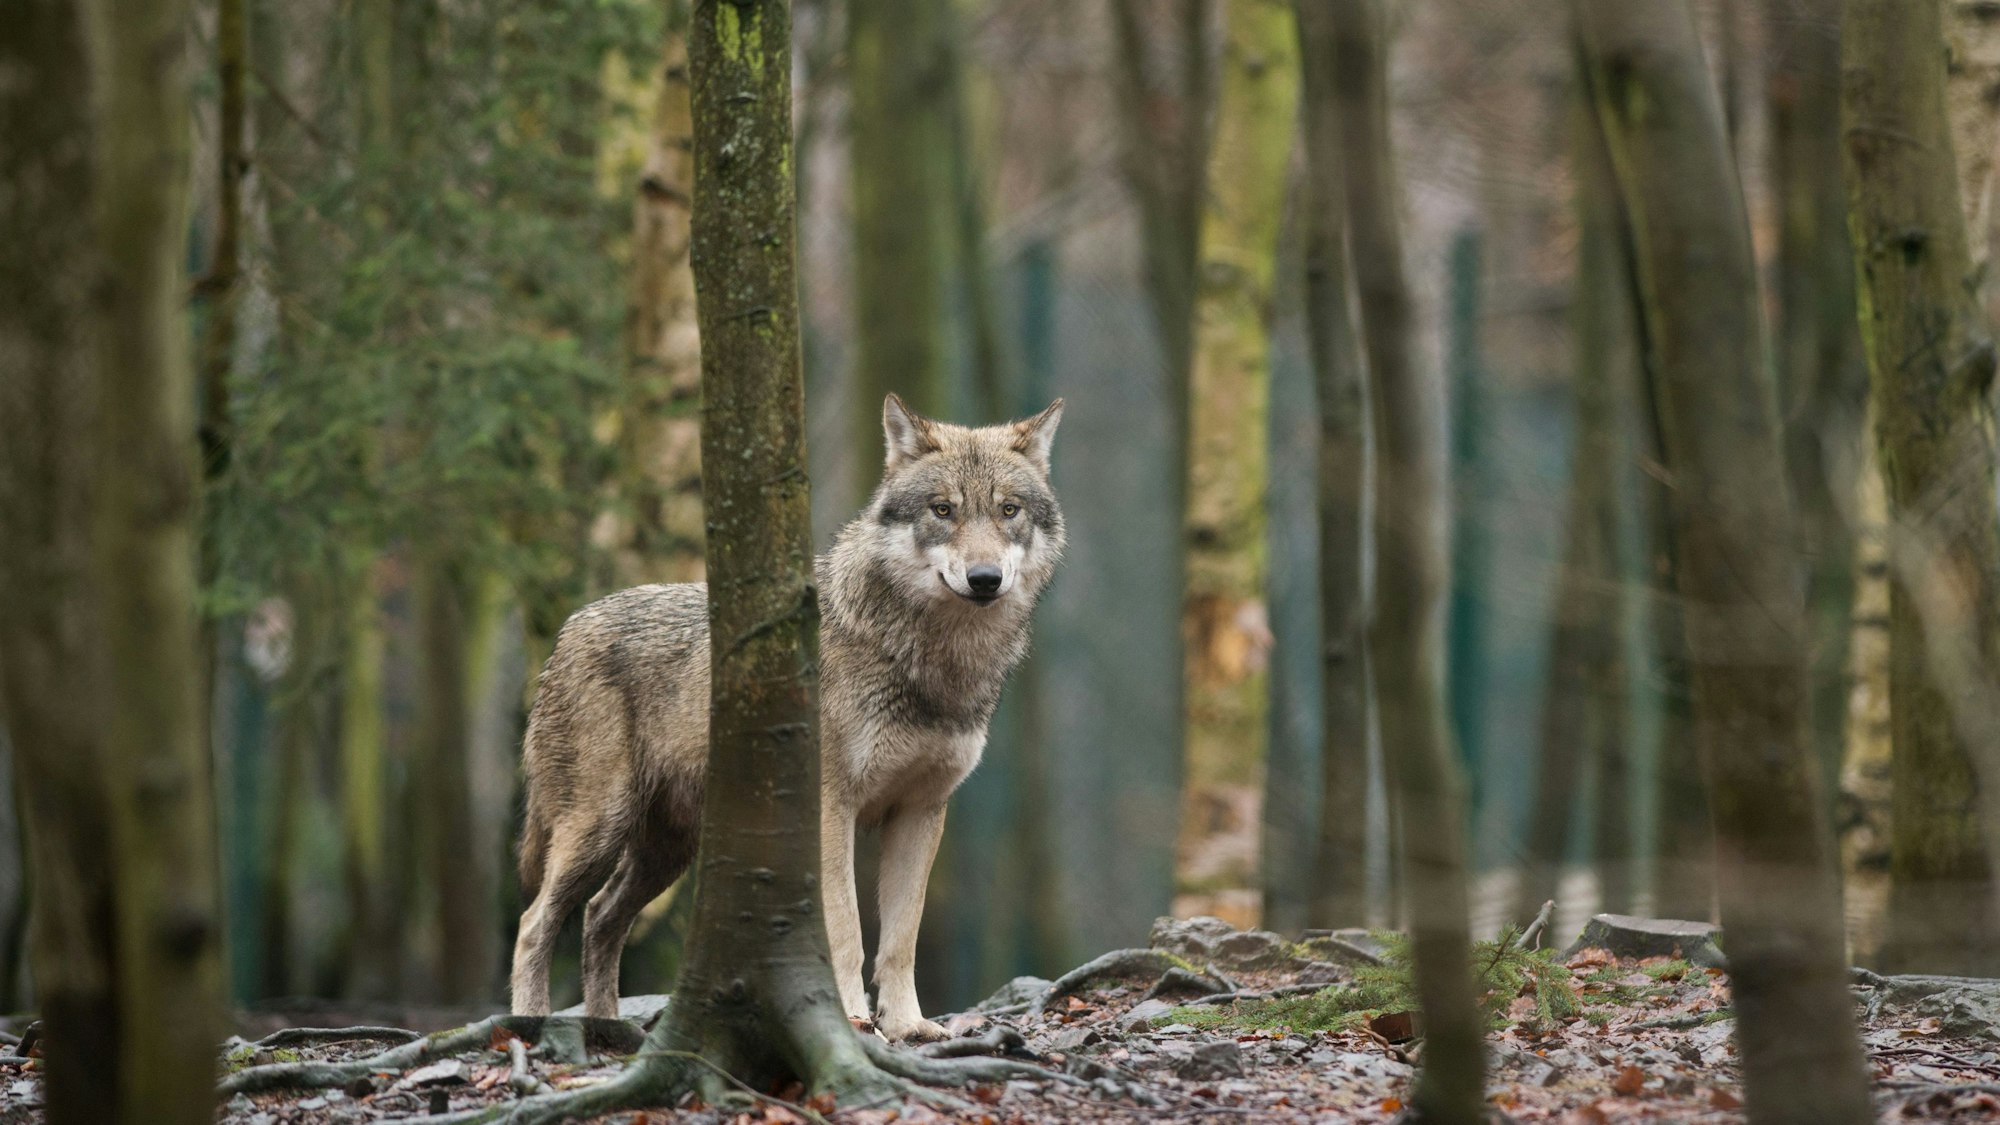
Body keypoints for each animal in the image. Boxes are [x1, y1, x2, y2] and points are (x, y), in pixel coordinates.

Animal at [508, 394, 1065, 1041]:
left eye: (1009, 510)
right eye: (943, 510)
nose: (984, 579)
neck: (932, 662)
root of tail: (568, 629)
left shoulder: (921, 812)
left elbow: (901, 939)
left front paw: (908, 1026)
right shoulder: (831, 808)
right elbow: (846, 931)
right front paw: (851, 1019)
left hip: (666, 851)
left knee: (599, 918)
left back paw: (608, 1031)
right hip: (599, 829)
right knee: (534, 923)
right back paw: (531, 1025)